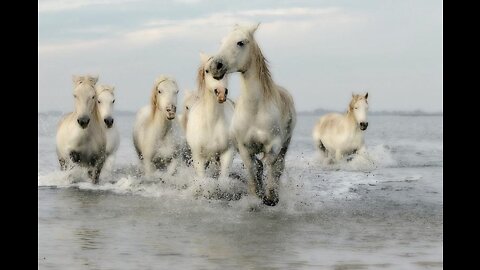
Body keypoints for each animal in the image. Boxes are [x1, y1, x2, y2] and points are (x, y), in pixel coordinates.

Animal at [209, 24, 296, 206]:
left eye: (240, 42)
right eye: (222, 41)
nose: (215, 66)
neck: (254, 111)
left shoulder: (274, 145)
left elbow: (270, 165)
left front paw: (271, 197)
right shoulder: (244, 148)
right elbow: (253, 169)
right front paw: (257, 195)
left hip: (285, 144)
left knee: (279, 167)